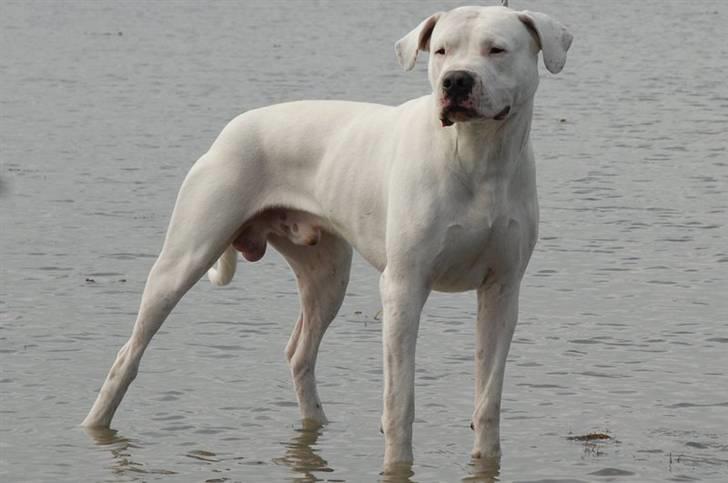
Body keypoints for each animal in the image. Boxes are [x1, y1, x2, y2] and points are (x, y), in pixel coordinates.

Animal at [84, 4, 568, 472]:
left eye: (496, 50)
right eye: (441, 51)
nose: (456, 80)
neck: (477, 156)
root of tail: (232, 128)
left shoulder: (501, 291)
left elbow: (488, 398)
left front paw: (487, 458)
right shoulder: (404, 287)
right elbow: (400, 400)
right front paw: (397, 462)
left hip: (327, 276)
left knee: (301, 353)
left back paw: (315, 425)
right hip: (184, 259)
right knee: (128, 354)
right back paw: (95, 424)